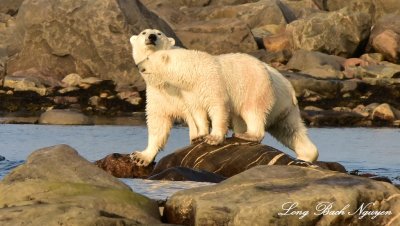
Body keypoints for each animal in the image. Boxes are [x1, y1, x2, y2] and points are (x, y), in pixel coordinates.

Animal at [138, 48, 318, 164]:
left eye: (148, 58)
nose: (139, 66)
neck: (194, 71)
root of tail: (289, 87)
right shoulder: (191, 92)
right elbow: (197, 112)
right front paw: (200, 136)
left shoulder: (213, 83)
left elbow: (218, 108)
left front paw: (213, 138)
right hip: (284, 107)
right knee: (290, 129)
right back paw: (306, 154)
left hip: (256, 87)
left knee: (253, 112)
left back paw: (247, 135)